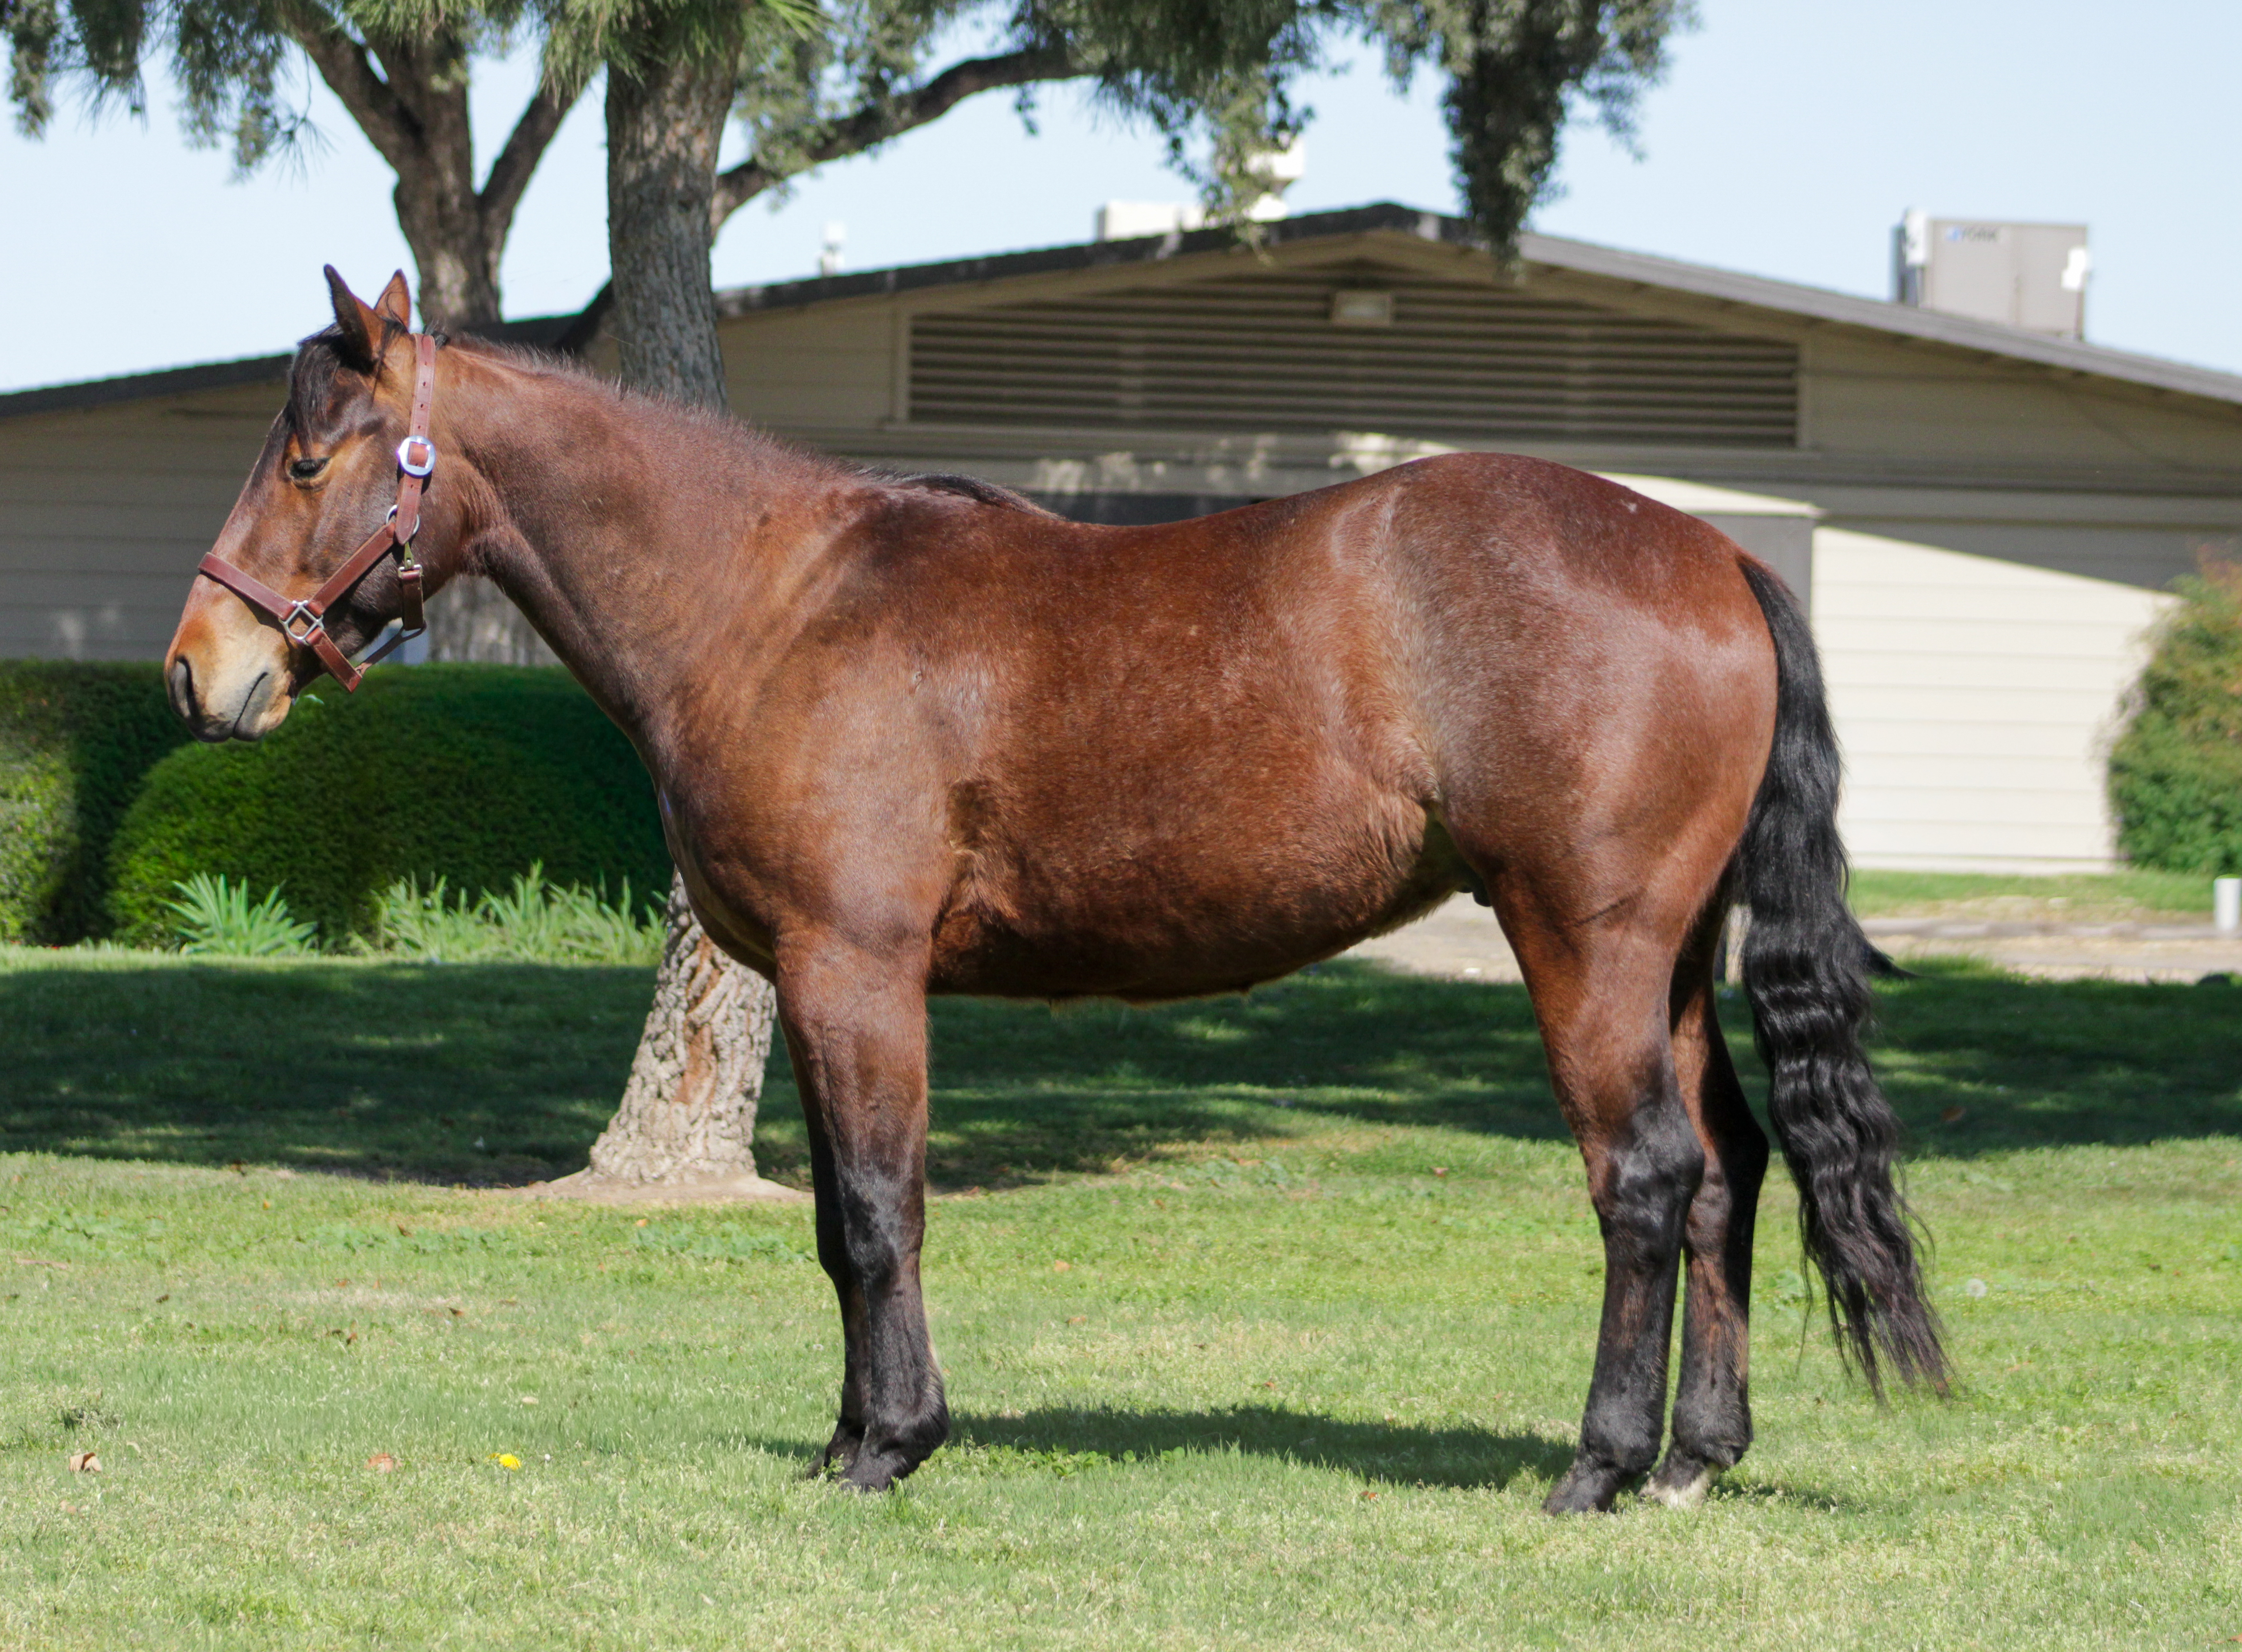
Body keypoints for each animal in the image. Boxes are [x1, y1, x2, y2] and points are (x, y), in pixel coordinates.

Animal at [163, 269, 1945, 1514]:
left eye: (309, 457)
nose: (199, 671)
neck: (772, 599)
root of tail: (1708, 554)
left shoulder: (853, 968)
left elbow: (877, 1211)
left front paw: (888, 1444)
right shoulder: (814, 982)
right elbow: (836, 1221)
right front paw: (848, 1432)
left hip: (1585, 941)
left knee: (1643, 1178)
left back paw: (1594, 1463)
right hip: (1671, 959)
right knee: (1724, 1171)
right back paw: (1691, 1456)